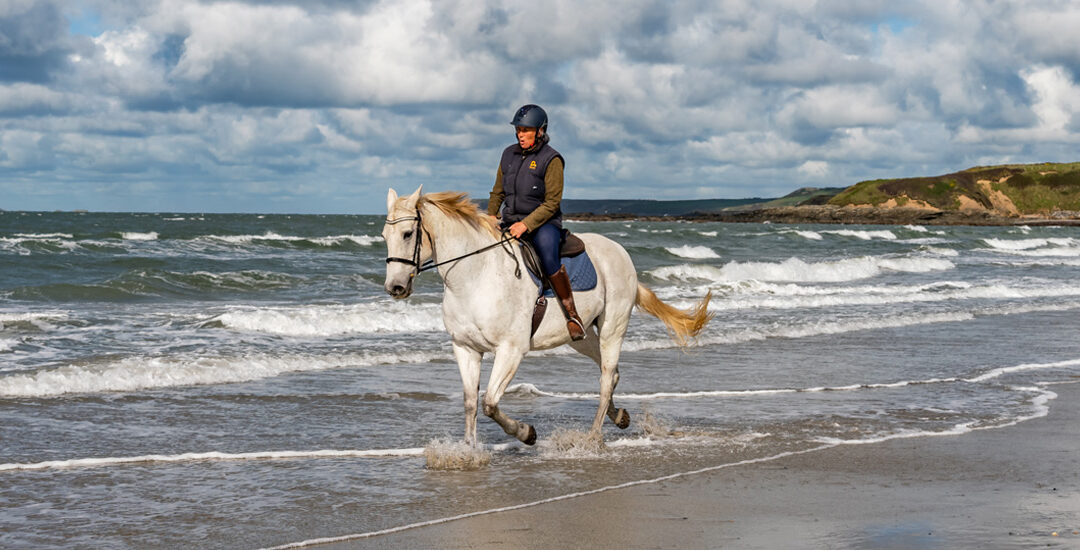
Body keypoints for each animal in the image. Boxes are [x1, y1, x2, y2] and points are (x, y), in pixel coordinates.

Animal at [384, 186, 712, 447]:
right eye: (385, 235)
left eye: (408, 234)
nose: (395, 287)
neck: (475, 277)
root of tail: (620, 251)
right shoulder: (465, 348)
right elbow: (470, 403)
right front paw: (469, 451)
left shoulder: (511, 350)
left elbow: (489, 403)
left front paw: (526, 433)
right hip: (579, 335)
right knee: (611, 371)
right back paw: (619, 417)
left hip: (613, 328)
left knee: (607, 376)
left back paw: (593, 436)